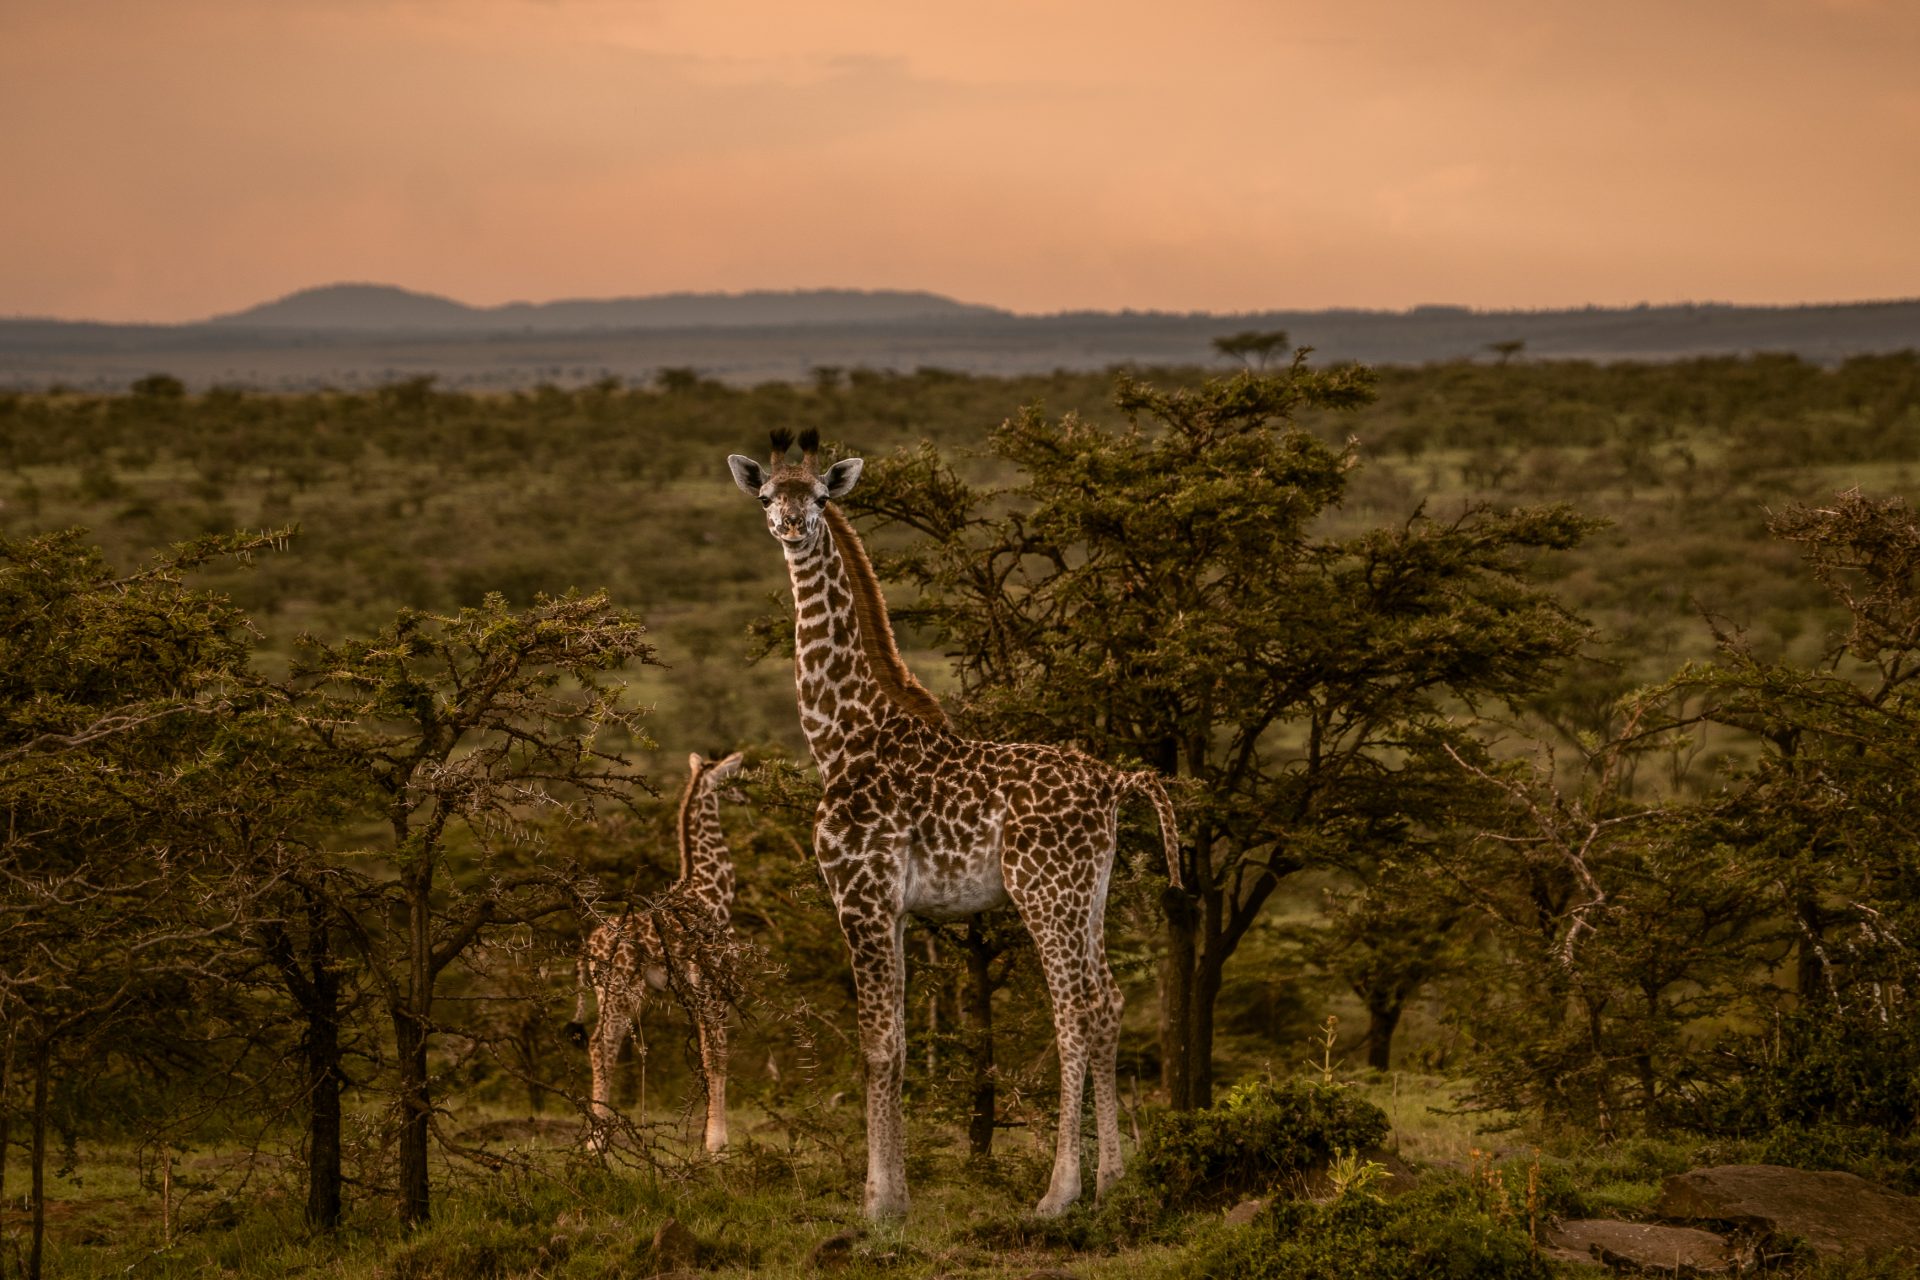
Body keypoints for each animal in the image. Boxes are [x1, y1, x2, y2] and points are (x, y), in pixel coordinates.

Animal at [560, 744, 741, 1159]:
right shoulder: (713, 979)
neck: (713, 893)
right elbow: (719, 1052)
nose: (743, 797)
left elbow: (707, 1053)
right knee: (601, 1044)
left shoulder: (696, 990)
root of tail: (586, 949)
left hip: (608, 990)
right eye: (731, 777)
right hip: (619, 988)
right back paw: (596, 1142)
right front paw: (718, 1143)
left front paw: (710, 1138)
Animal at [721, 429, 1182, 1220]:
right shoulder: (898, 909)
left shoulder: (860, 895)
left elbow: (876, 1045)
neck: (841, 736)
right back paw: (1115, 1182)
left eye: (820, 496)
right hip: (1090, 892)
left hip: (1044, 891)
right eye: (767, 495)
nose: (791, 526)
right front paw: (894, 1196)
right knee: (1111, 1003)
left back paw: (1059, 1194)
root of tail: (1115, 782)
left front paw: (878, 1205)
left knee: (1076, 1011)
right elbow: (900, 1043)